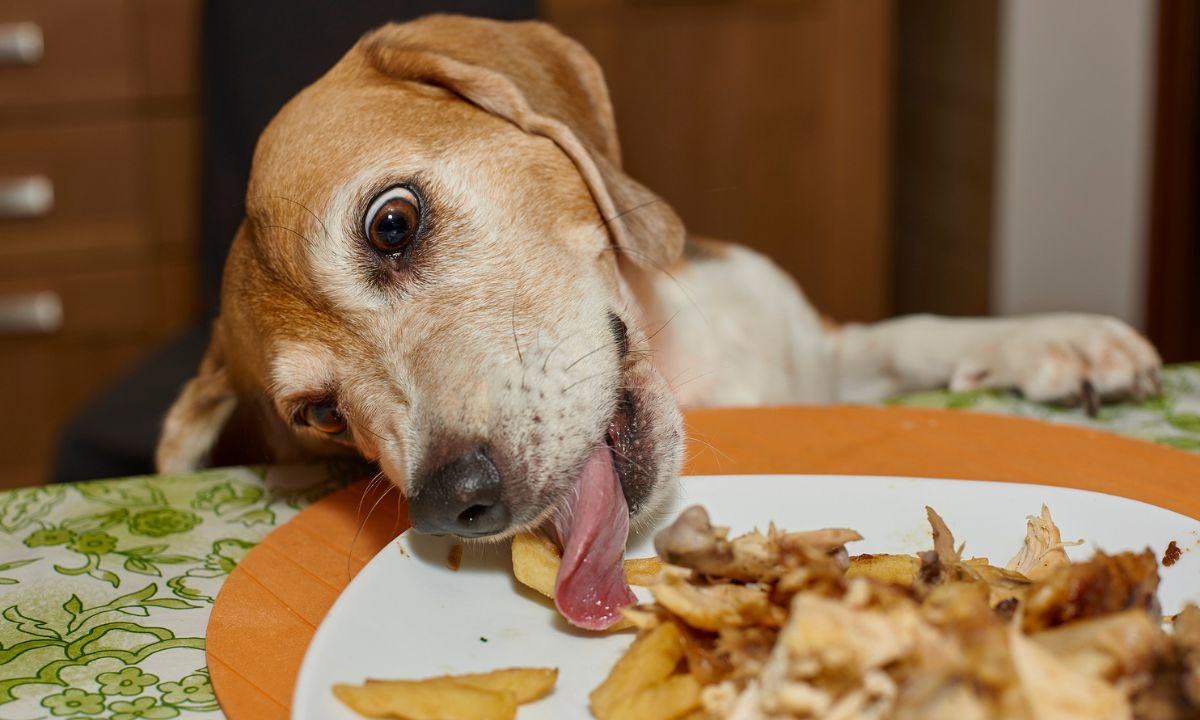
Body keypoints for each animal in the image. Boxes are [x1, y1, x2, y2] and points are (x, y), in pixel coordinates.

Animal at [154, 14, 1156, 628]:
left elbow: (915, 330)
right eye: (319, 415)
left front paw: (1058, 340)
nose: (453, 502)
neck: (691, 366)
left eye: (391, 223)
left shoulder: (816, 350)